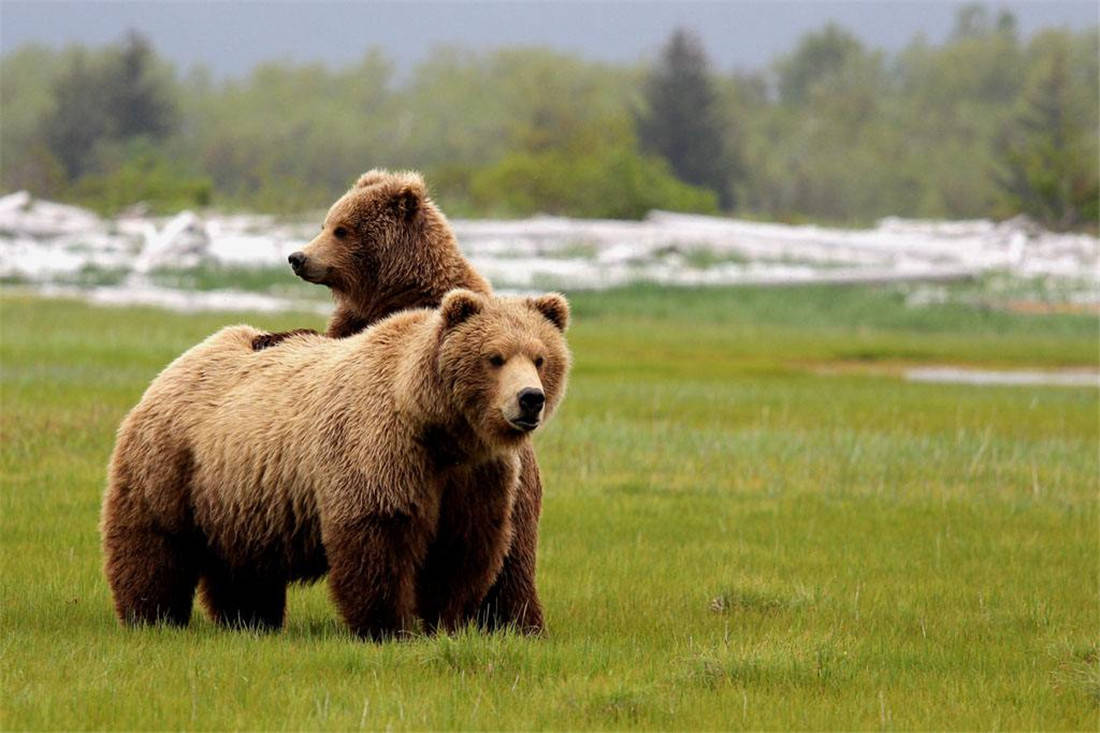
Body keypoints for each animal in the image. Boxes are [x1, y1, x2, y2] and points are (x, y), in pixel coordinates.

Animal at [101, 288, 576, 638]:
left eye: (541, 358)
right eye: (494, 357)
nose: (530, 399)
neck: (437, 427)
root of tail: (178, 363)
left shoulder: (474, 476)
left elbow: (461, 547)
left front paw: (443, 622)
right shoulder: (381, 449)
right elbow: (378, 535)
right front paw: (385, 627)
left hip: (240, 492)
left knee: (244, 565)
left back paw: (250, 620)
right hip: (173, 460)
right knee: (155, 540)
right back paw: (152, 616)